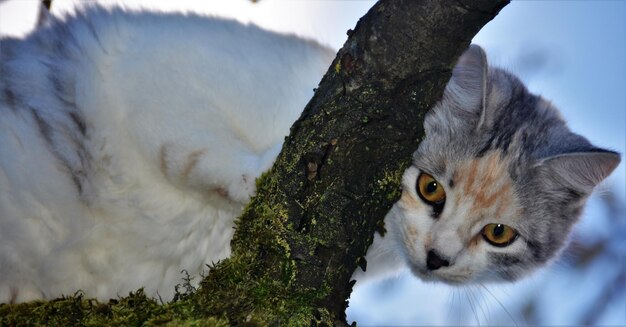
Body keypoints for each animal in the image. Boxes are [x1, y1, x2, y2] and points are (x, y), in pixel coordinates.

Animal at [0, 5, 616, 304]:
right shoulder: (148, 62)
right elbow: (186, 148)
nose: (438, 259)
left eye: (498, 234)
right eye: (431, 188)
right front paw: (260, 175)